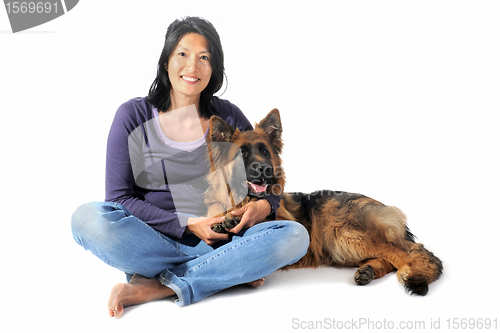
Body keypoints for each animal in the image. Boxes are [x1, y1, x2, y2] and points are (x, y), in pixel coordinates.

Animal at [205, 109, 444, 296]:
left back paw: (407, 271)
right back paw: (369, 270)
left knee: (409, 252)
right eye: (243, 153)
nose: (266, 169)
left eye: (264, 151)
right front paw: (224, 223)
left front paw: (233, 222)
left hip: (344, 232)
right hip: (341, 247)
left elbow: (257, 220)